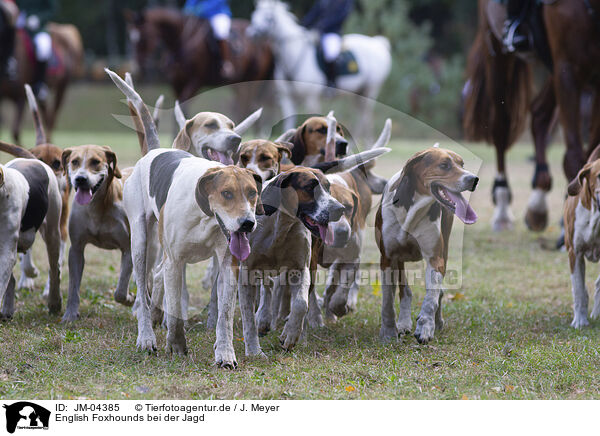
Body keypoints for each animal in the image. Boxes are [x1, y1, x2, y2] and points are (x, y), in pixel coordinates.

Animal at [124, 6, 274, 126]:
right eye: (130, 37)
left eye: (143, 38)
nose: (138, 68)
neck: (181, 41)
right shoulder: (176, 82)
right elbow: (179, 111)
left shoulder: (195, 81)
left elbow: (183, 109)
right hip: (239, 84)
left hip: (252, 81)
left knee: (248, 107)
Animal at [246, 0, 392, 141]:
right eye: (254, 15)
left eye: (268, 17)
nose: (252, 34)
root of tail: (377, 43)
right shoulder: (287, 99)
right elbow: (288, 123)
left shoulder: (311, 98)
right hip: (357, 93)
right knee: (361, 115)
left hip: (370, 90)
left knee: (366, 117)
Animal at [464, 0, 600, 233]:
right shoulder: (567, 69)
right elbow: (574, 157)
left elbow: (591, 154)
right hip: (497, 51)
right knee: (501, 126)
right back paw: (503, 210)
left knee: (539, 114)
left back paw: (538, 202)